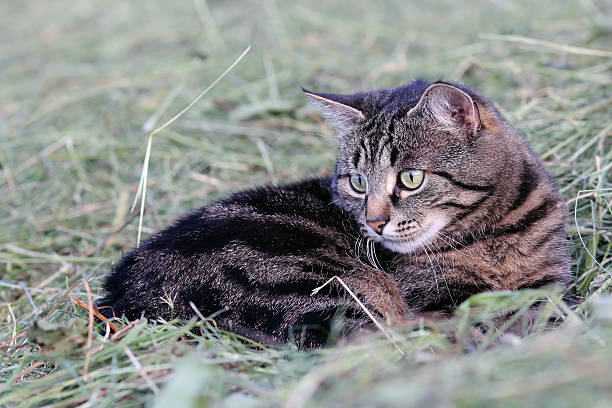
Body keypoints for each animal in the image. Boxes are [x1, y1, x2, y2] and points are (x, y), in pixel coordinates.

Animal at [97, 79, 572, 348]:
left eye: (411, 178)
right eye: (358, 182)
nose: (374, 224)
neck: (495, 235)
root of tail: (119, 301)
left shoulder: (548, 285)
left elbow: (550, 311)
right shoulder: (440, 302)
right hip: (340, 293)